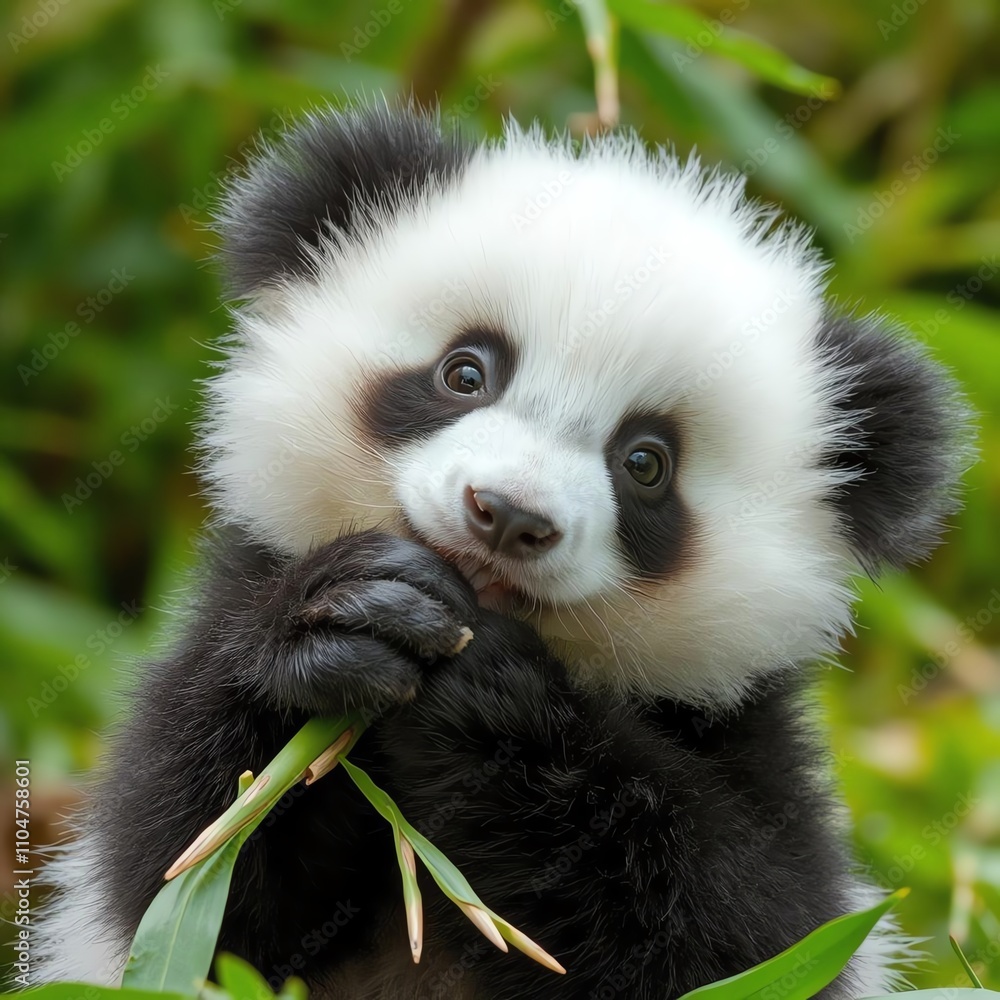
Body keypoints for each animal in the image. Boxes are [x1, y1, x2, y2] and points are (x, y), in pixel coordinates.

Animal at [35, 103, 970, 999]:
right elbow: (192, 878)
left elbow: (752, 940)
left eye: (646, 463)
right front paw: (344, 622)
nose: (510, 515)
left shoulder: (744, 740)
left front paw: (498, 703)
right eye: (465, 372)